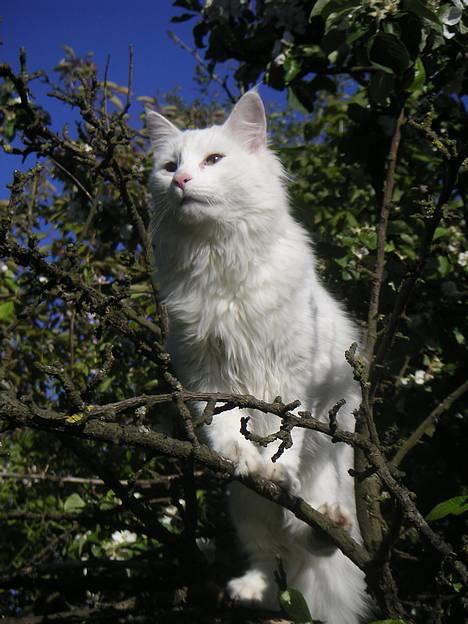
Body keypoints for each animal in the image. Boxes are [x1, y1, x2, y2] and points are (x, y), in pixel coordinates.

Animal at [148, 90, 372, 620]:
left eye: (213, 160)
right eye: (169, 166)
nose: (182, 182)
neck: (218, 257)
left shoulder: (292, 373)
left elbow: (284, 431)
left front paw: (273, 466)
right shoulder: (205, 373)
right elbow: (226, 424)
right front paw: (239, 455)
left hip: (331, 466)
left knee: (316, 537)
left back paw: (324, 520)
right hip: (246, 511)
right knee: (271, 562)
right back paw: (250, 589)